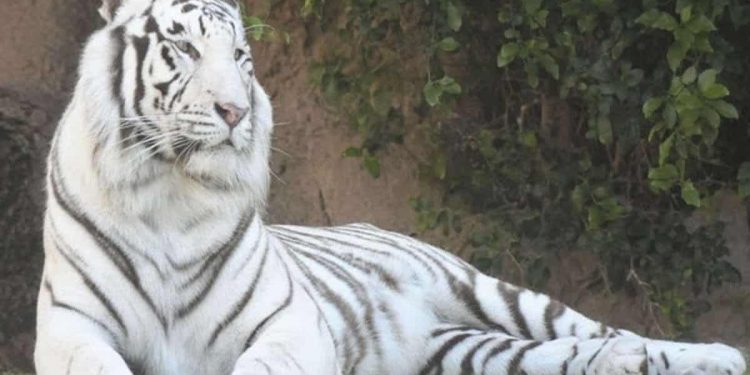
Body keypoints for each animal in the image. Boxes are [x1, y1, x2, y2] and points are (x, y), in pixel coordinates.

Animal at [35, 0, 748, 375]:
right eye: (183, 49)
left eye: (240, 57)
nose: (235, 112)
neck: (173, 194)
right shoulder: (72, 328)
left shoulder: (288, 323)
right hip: (459, 352)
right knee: (564, 352)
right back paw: (626, 363)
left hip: (488, 290)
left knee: (600, 327)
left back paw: (714, 354)